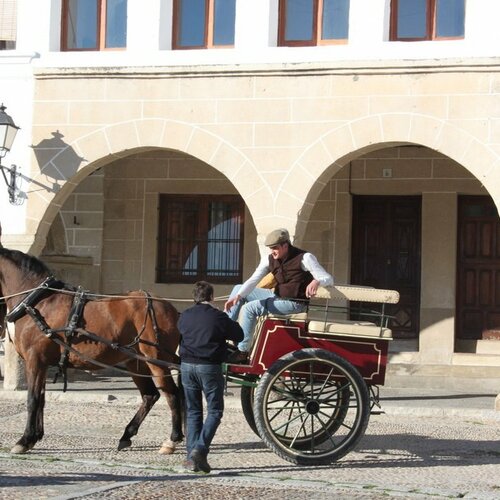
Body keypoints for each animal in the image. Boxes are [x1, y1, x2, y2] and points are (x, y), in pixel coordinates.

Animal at [0, 248, 184, 456]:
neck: (37, 301)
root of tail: (170, 308)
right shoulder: (43, 363)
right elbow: (41, 399)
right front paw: (35, 437)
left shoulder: (35, 360)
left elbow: (33, 399)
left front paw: (24, 440)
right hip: (136, 363)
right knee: (150, 396)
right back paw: (127, 435)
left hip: (156, 360)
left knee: (172, 394)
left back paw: (172, 440)